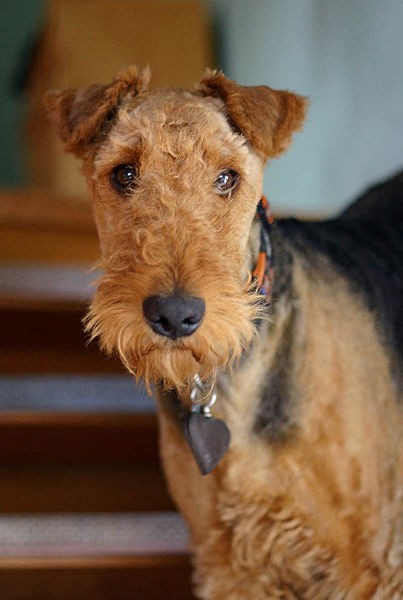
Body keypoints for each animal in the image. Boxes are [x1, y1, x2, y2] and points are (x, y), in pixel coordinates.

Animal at [45, 68, 403, 596]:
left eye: (227, 177)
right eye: (124, 173)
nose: (175, 315)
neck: (233, 383)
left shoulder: (368, 564)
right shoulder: (227, 560)